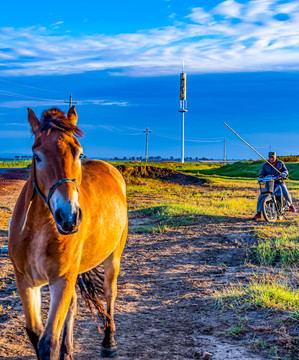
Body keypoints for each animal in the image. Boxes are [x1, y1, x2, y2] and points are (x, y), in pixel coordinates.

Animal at [8, 107, 127, 360]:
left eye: (79, 154)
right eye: (37, 156)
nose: (69, 216)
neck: (38, 232)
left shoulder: (61, 279)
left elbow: (48, 342)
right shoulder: (26, 281)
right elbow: (35, 334)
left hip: (113, 256)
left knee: (109, 292)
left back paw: (109, 341)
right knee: (73, 304)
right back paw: (68, 350)